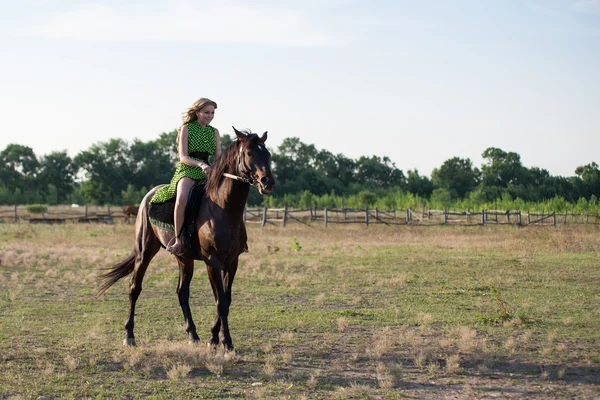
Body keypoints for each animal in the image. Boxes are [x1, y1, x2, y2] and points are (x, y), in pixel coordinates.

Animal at [98, 126, 274, 348]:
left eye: (267, 154)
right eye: (249, 153)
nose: (267, 182)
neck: (223, 209)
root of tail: (149, 196)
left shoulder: (232, 261)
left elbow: (226, 299)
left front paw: (214, 337)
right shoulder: (212, 261)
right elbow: (221, 302)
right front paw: (225, 342)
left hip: (184, 258)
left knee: (182, 292)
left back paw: (193, 334)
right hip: (144, 252)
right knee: (134, 288)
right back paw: (129, 335)